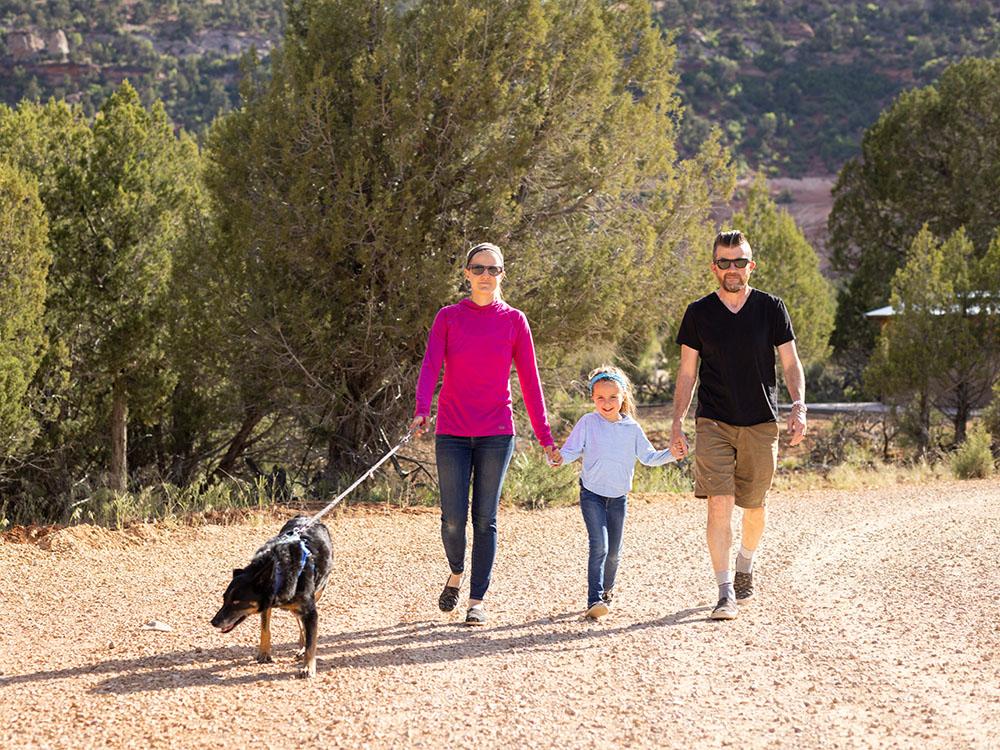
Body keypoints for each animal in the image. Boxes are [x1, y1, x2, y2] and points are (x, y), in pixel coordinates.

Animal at [211, 516, 332, 680]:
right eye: (224, 599)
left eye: (236, 602)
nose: (213, 622)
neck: (279, 572)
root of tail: (304, 517)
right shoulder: (266, 604)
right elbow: (265, 630)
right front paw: (264, 653)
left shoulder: (310, 611)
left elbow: (311, 643)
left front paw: (308, 667)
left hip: (316, 594)